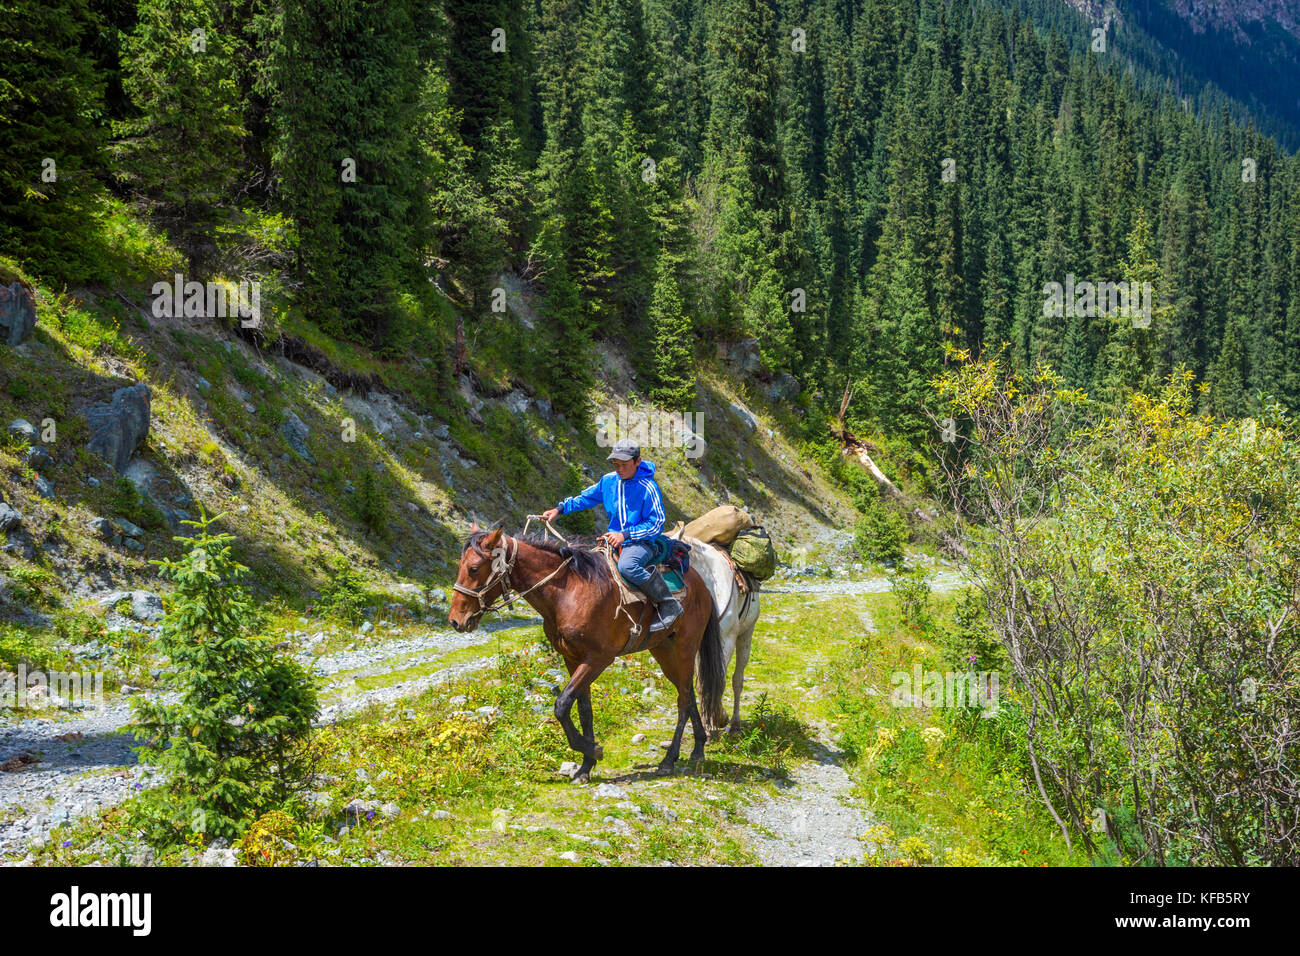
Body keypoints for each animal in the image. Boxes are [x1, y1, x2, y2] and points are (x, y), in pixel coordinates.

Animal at [452, 522, 728, 785]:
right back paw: (698, 748)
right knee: (688, 693)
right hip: (664, 652)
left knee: (683, 700)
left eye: (474, 568)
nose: (456, 621)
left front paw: (593, 750)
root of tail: (702, 585)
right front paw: (585, 767)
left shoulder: (598, 659)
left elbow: (562, 705)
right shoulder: (572, 659)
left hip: (684, 649)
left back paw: (669, 760)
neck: (568, 592)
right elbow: (584, 710)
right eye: (461, 566)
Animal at [686, 538, 759, 733]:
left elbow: (719, 681)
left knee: (737, 680)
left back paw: (735, 724)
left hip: (746, 635)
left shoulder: (726, 641)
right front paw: (707, 725)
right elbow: (703, 684)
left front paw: (718, 719)